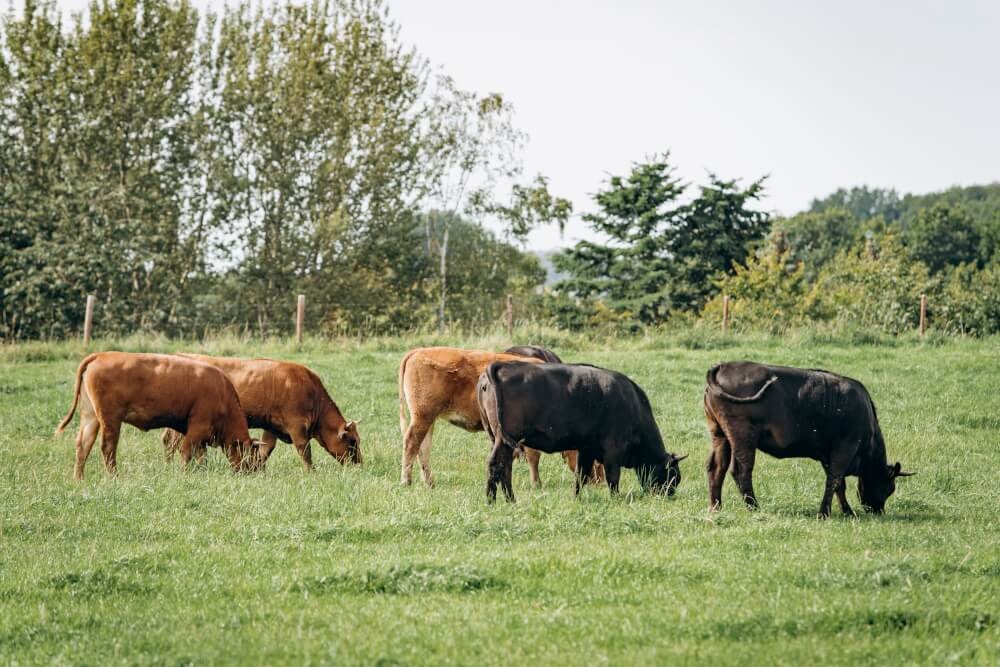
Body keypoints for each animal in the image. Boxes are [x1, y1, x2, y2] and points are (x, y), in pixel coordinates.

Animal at [55, 352, 256, 480]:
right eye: (250, 456)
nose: (250, 473)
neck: (221, 392)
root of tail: (101, 355)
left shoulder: (200, 435)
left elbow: (201, 456)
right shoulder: (198, 427)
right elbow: (186, 452)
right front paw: (184, 474)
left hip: (90, 417)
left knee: (83, 445)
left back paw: (79, 479)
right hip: (110, 419)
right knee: (108, 447)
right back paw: (114, 477)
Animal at [161, 354, 361, 471]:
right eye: (352, 441)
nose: (359, 465)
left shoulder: (272, 427)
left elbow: (266, 449)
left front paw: (257, 468)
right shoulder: (296, 426)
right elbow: (304, 450)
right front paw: (311, 471)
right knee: (172, 442)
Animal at [477, 361, 686, 503]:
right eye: (672, 476)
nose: (668, 495)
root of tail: (501, 366)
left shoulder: (587, 449)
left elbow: (581, 475)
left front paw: (576, 498)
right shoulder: (613, 449)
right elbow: (612, 476)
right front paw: (615, 499)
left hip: (498, 439)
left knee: (504, 467)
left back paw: (507, 500)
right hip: (506, 439)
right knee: (497, 465)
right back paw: (494, 501)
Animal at [703, 361, 913, 517]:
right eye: (889, 487)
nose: (879, 511)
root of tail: (723, 366)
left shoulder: (828, 455)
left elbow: (839, 485)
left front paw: (846, 511)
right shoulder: (845, 447)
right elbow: (835, 480)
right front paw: (825, 513)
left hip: (720, 434)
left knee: (716, 468)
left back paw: (715, 508)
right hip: (743, 436)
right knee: (741, 471)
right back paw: (755, 508)